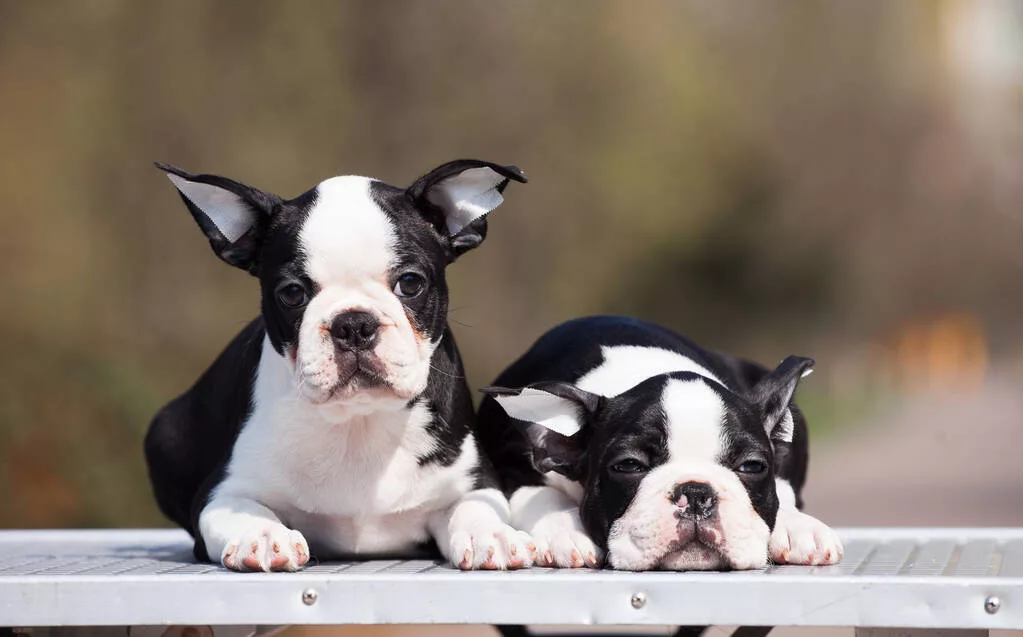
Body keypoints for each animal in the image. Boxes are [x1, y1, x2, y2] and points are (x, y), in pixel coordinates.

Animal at [144, 158, 536, 572]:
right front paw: (263, 535)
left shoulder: (474, 480)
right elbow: (242, 509)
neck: (357, 419)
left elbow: (476, 506)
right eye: (292, 293)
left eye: (410, 283)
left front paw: (492, 535)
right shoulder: (221, 491)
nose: (353, 324)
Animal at [474, 316, 842, 572]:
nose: (696, 492)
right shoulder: (508, 462)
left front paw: (797, 526)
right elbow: (537, 493)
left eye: (752, 466)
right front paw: (565, 530)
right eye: (628, 465)